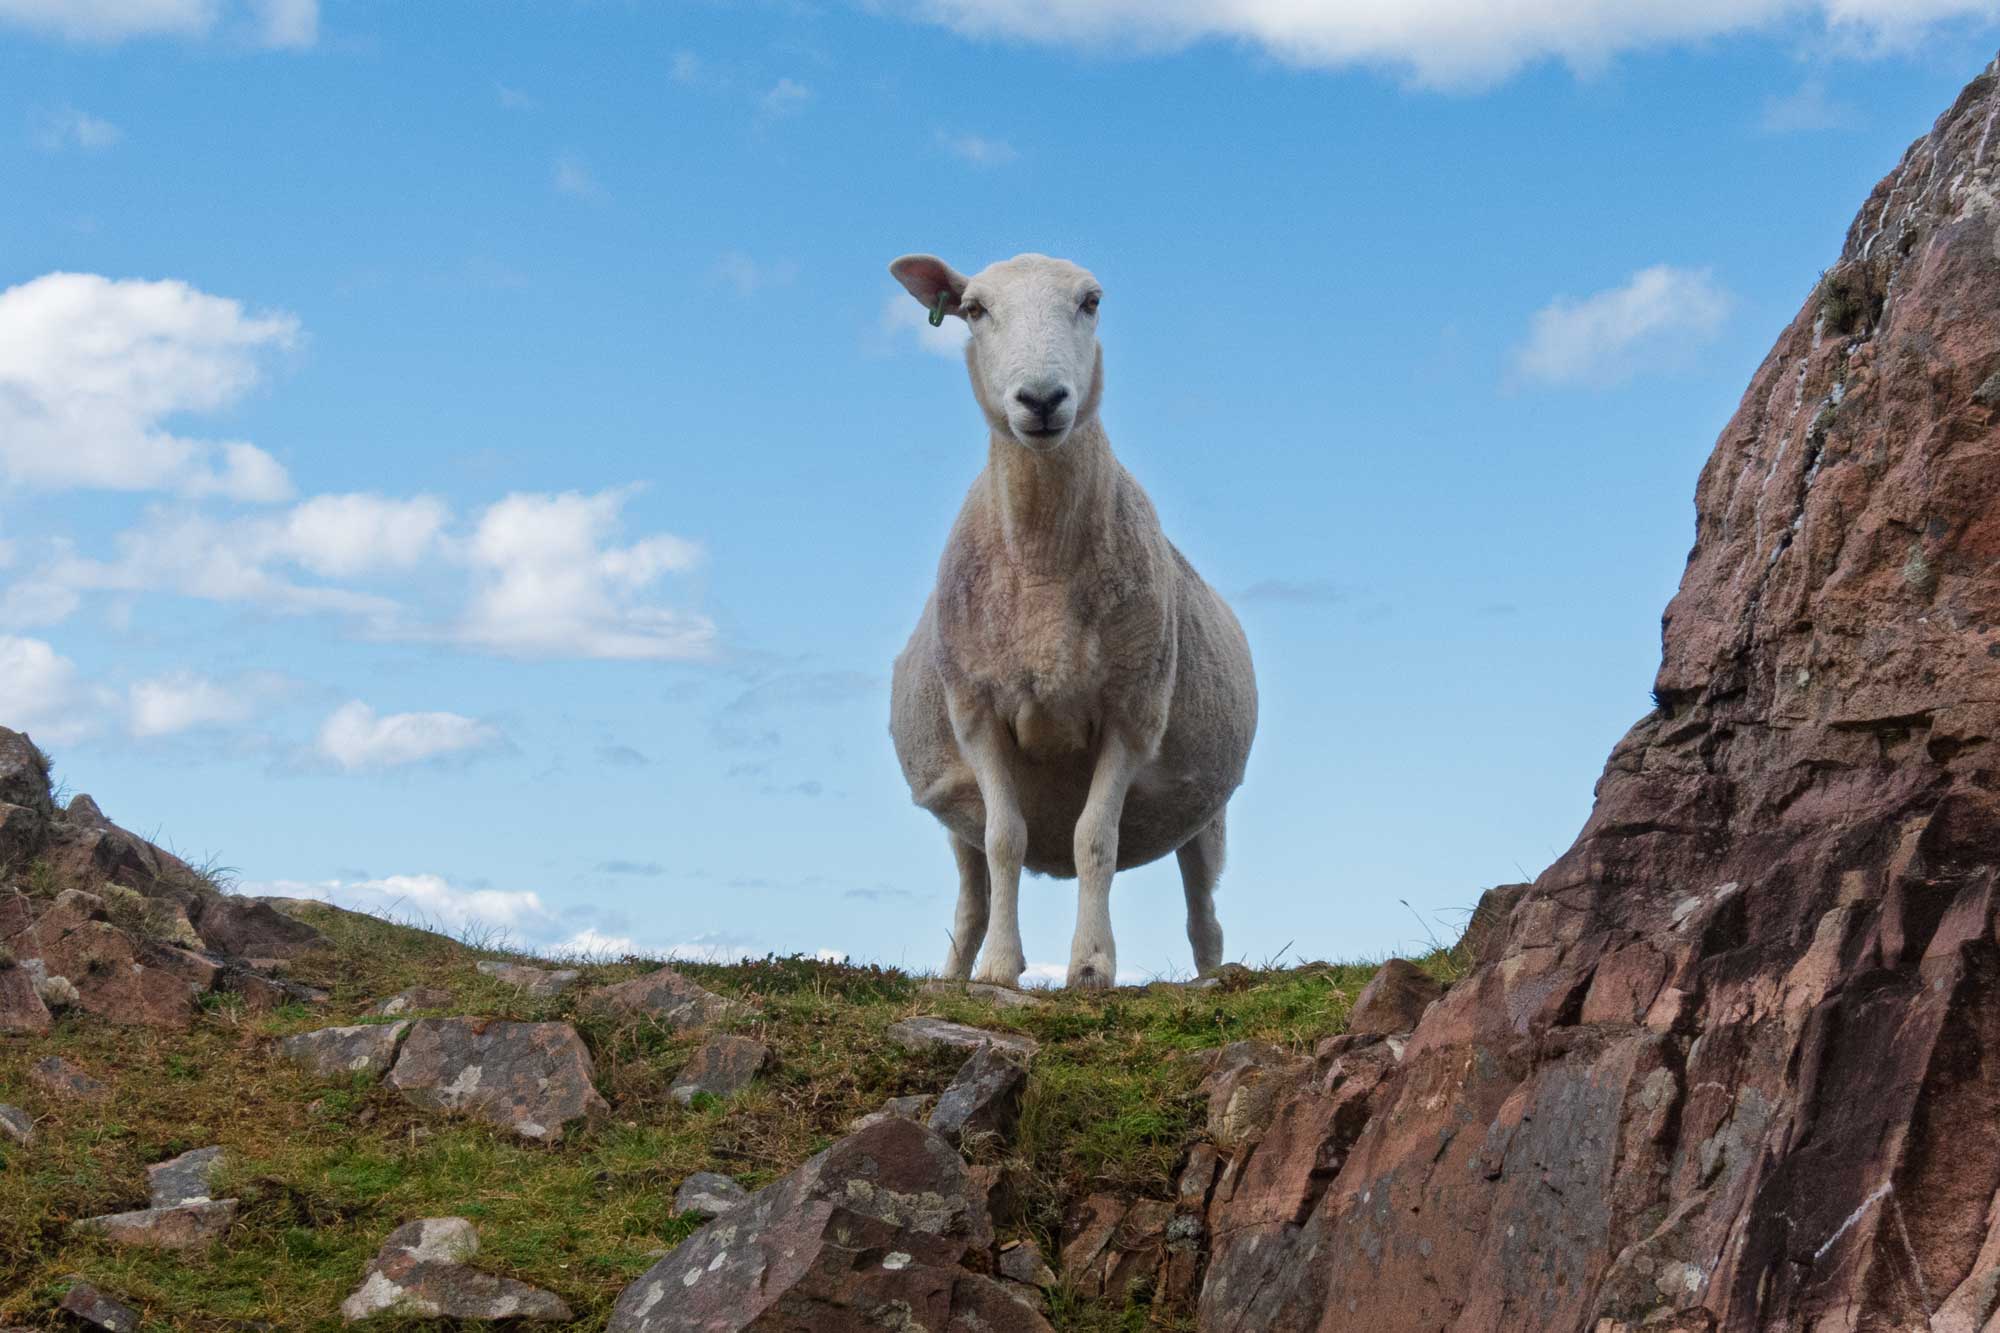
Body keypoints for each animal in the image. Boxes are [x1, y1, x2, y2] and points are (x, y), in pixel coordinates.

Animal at [888, 252, 1256, 984]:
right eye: (974, 309)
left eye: (1091, 302)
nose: (1041, 399)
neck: (1042, 572)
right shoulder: (976, 713)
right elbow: (1006, 839)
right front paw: (1001, 969)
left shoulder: (1133, 711)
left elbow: (1095, 840)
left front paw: (1089, 965)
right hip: (954, 814)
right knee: (972, 896)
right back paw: (955, 975)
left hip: (1207, 810)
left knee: (1204, 914)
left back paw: (1211, 976)